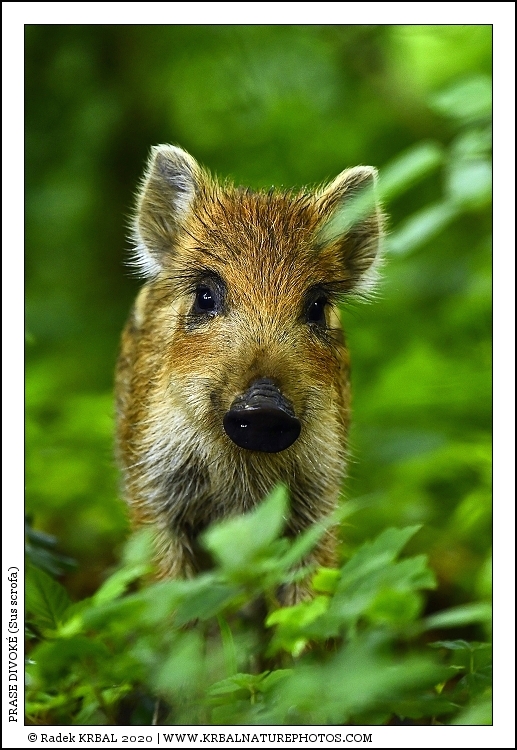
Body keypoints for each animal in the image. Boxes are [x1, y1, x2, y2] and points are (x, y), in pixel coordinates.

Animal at [115, 145, 383, 604]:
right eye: (205, 296)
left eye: (317, 306)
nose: (264, 406)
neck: (241, 470)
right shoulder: (153, 489)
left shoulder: (319, 492)